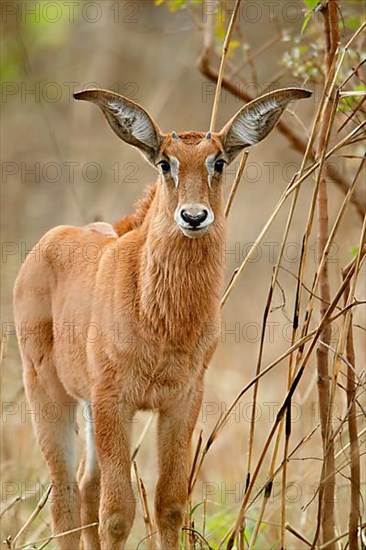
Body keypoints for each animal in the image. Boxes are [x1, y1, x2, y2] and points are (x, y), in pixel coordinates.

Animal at [14, 86, 312, 548]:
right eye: (165, 162)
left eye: (219, 161)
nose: (193, 216)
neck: (161, 318)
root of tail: (49, 242)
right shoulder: (115, 401)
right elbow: (118, 513)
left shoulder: (181, 401)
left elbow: (169, 506)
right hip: (49, 393)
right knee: (64, 497)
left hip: (87, 407)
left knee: (86, 487)